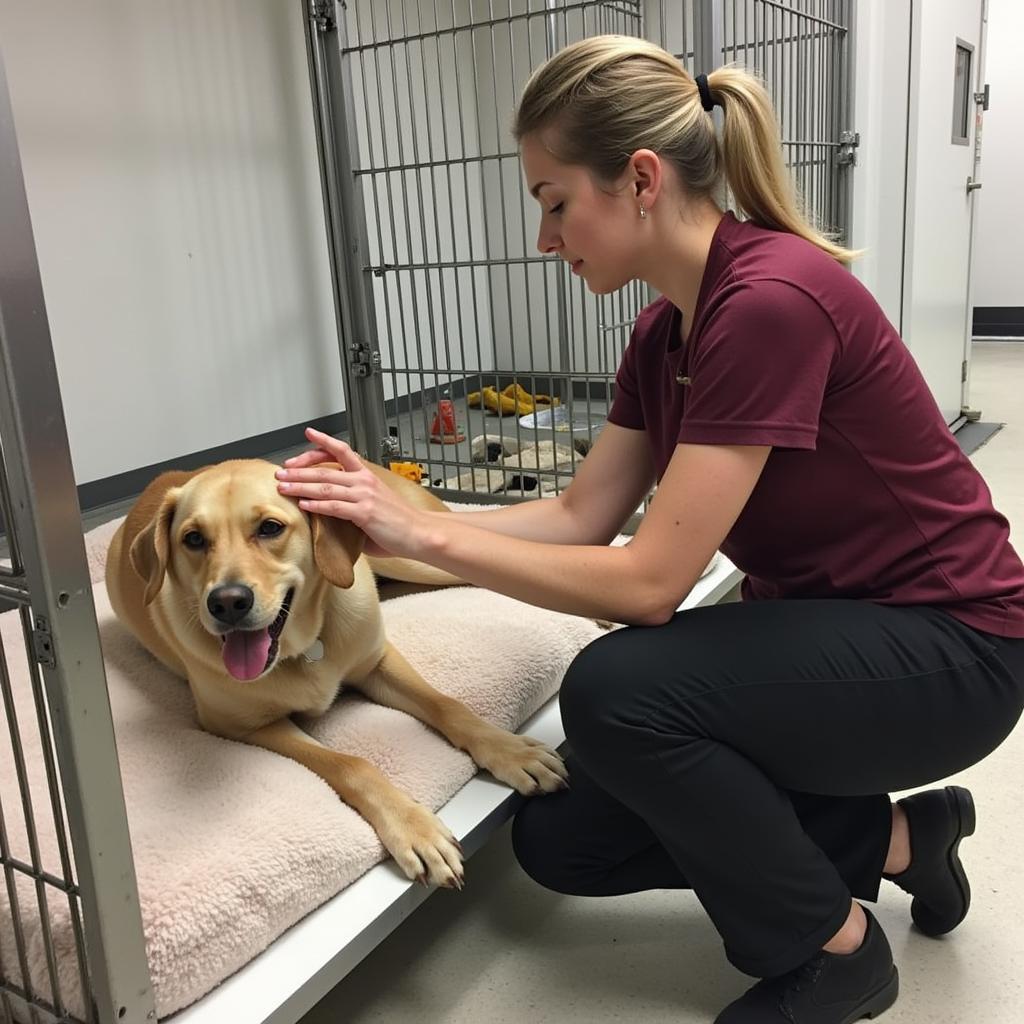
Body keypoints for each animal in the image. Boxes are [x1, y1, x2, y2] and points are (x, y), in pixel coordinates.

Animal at [105, 458, 569, 888]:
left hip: (413, 552)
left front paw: (512, 752)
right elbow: (351, 764)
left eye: (270, 528)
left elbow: (448, 705)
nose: (227, 603)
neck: (305, 647)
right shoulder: (243, 726)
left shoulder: (377, 662)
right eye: (193, 539)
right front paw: (414, 829)